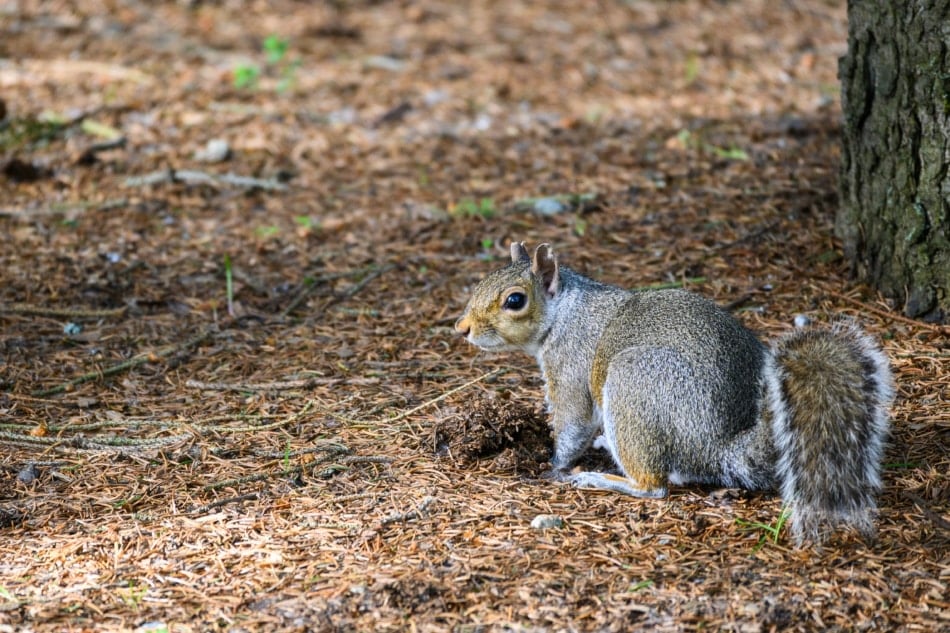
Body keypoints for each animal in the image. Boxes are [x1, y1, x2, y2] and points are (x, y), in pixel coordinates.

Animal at [458, 242, 896, 544]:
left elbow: (572, 425)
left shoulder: (570, 366)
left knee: (655, 485)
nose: (462, 328)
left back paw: (603, 479)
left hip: (633, 382)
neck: (564, 311)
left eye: (515, 300)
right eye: (479, 281)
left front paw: (551, 467)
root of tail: (718, 446)